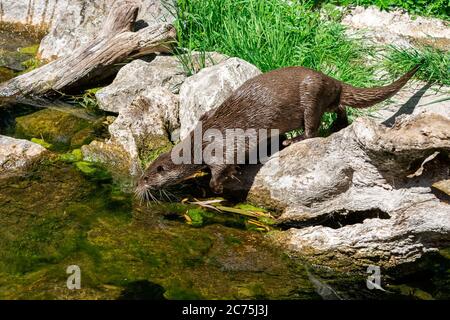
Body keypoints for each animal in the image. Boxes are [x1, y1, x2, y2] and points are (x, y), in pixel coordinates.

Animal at [135, 63, 420, 198]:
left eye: (147, 176)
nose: (136, 186)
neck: (199, 141)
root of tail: (332, 80)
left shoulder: (222, 147)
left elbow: (222, 167)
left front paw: (218, 185)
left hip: (311, 94)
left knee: (313, 128)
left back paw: (291, 141)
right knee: (339, 108)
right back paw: (337, 124)